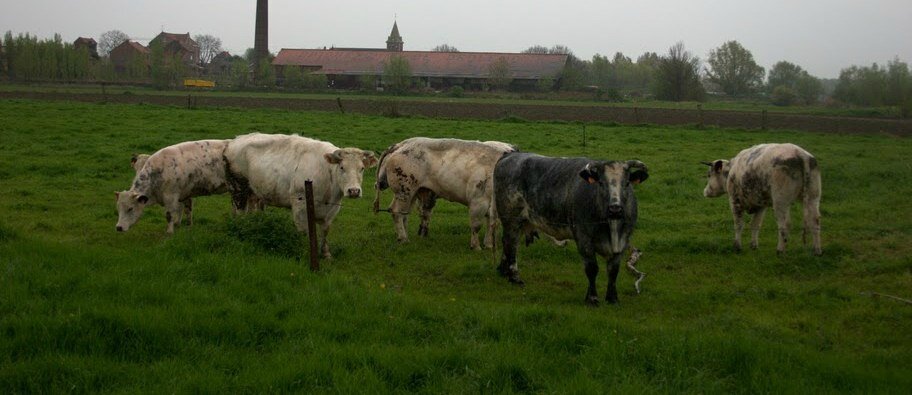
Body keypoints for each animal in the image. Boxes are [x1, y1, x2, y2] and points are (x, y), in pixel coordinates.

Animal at [224, 131, 378, 258]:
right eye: (341, 167)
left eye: (362, 168)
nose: (354, 191)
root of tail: (235, 140)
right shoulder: (300, 204)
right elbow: (304, 231)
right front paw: (305, 251)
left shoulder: (332, 209)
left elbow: (325, 230)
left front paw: (326, 254)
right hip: (239, 187)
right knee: (240, 211)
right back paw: (240, 228)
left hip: (253, 192)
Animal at [368, 138, 512, 251]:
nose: (377, 184)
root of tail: (402, 144)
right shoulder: (478, 200)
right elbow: (477, 225)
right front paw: (476, 246)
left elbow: (492, 224)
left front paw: (489, 244)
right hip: (404, 191)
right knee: (396, 211)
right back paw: (403, 238)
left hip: (411, 193)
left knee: (404, 214)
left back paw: (403, 236)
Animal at [492, 153, 648, 308]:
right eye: (601, 183)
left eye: (627, 183)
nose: (615, 209)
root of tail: (511, 155)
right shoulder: (583, 239)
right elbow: (592, 269)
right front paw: (592, 298)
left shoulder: (623, 241)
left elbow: (613, 270)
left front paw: (612, 298)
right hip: (511, 218)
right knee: (511, 244)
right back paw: (514, 276)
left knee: (508, 243)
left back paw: (503, 270)